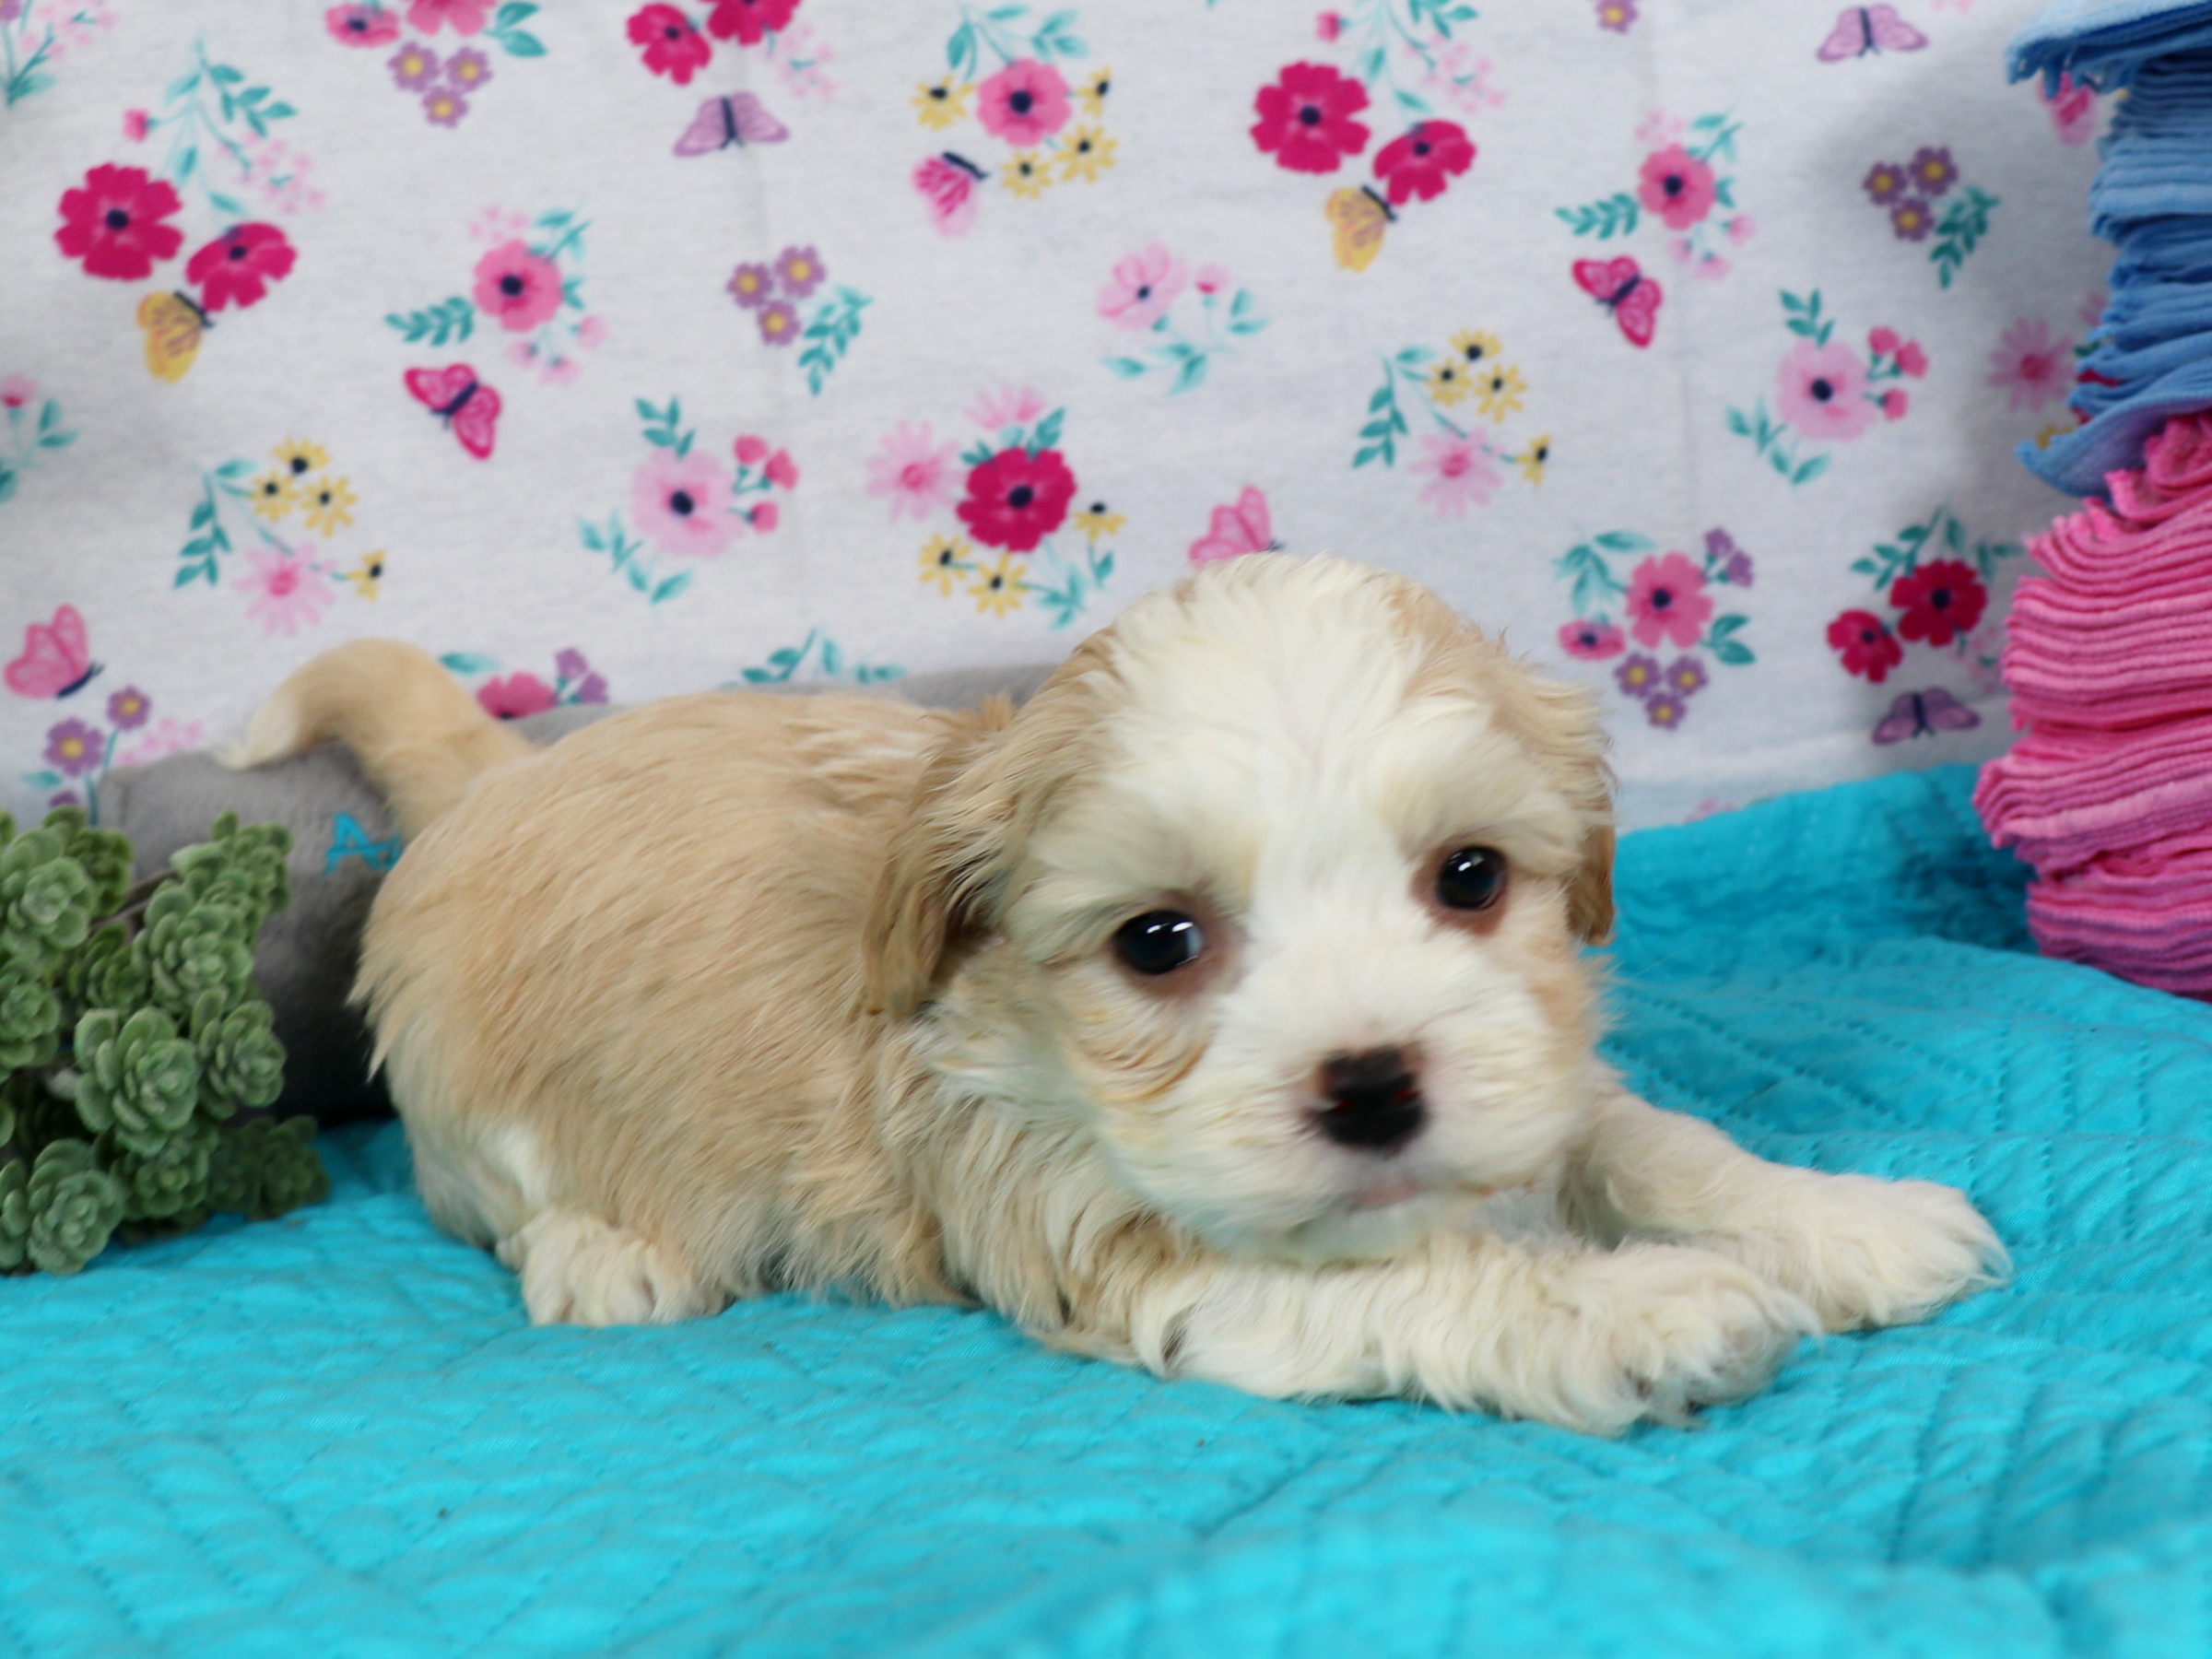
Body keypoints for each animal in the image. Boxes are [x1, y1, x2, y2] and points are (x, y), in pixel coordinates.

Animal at [233, 554, 2004, 1433]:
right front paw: (1650, 1309)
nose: (1375, 1088)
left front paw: (1841, 1220)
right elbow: (1439, 1277)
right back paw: (609, 1252)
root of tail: (496, 774)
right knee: (507, 1197)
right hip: (469, 1097)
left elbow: (1646, 1145)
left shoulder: (1535, 1083)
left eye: (1471, 878)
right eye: (1160, 943)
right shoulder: (1122, 1245)